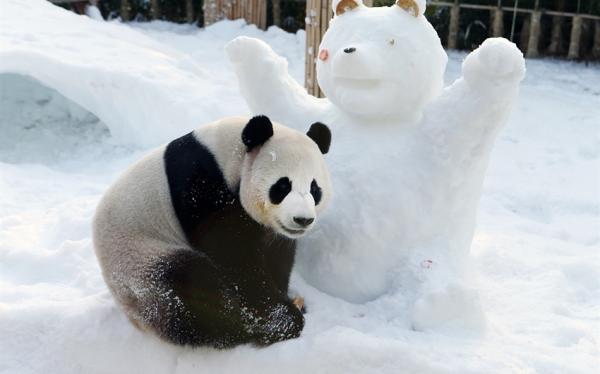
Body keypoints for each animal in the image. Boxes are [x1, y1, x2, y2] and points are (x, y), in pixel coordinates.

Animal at [92, 116, 332, 348]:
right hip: (141, 262)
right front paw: (280, 320)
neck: (230, 155)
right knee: (190, 291)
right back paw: (247, 330)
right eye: (282, 186)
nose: (302, 220)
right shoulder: (202, 187)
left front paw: (285, 300)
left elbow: (276, 254)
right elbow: (235, 258)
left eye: (314, 189)